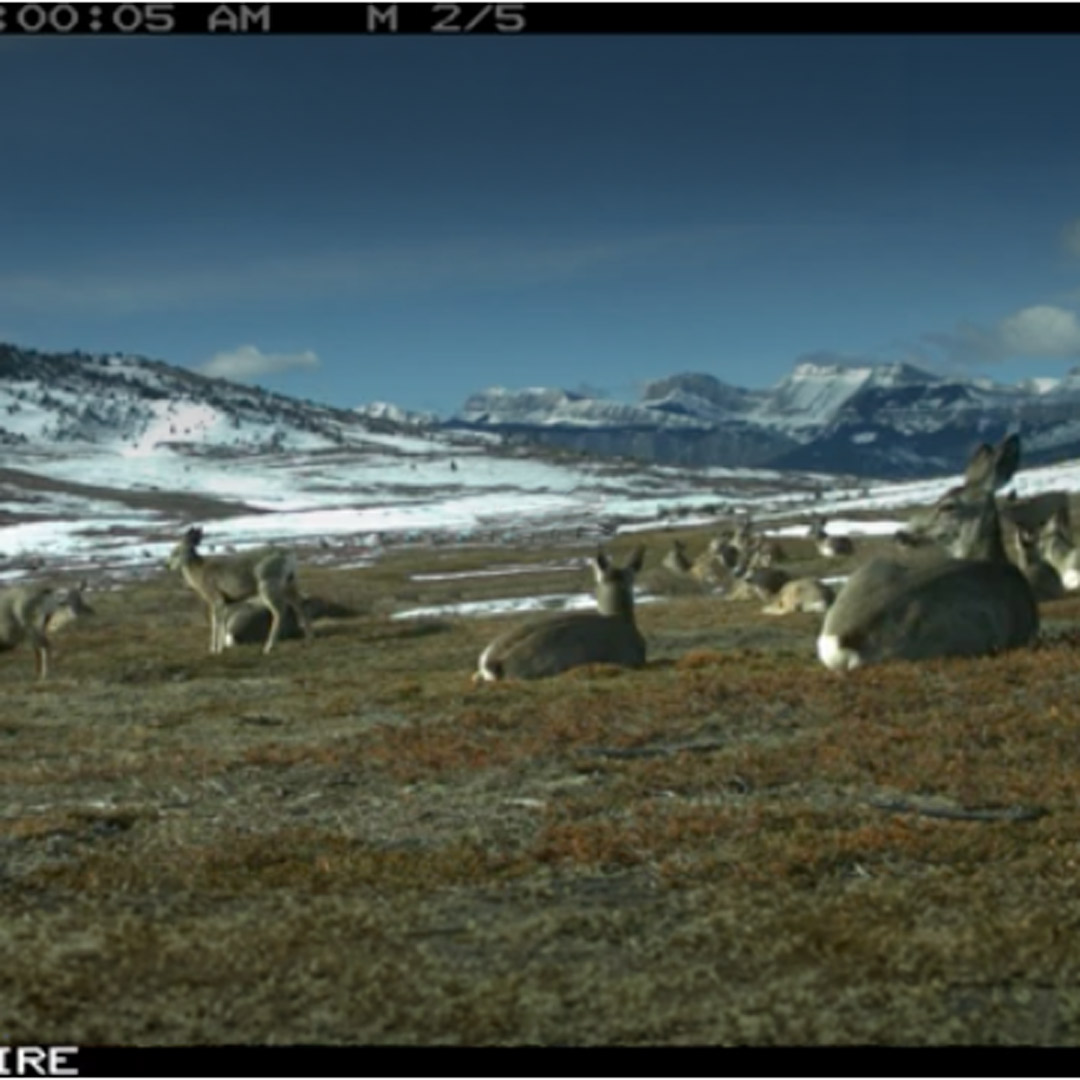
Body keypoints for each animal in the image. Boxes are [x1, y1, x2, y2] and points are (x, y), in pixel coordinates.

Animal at [166, 527, 312, 655]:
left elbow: (215, 623)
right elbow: (222, 624)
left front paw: (214, 650)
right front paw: (221, 648)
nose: (167, 565)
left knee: (279, 611)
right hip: (289, 582)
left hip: (267, 584)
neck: (199, 572)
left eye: (176, 551)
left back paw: (268, 648)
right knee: (299, 605)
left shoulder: (215, 597)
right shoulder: (225, 602)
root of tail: (289, 555)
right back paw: (308, 639)